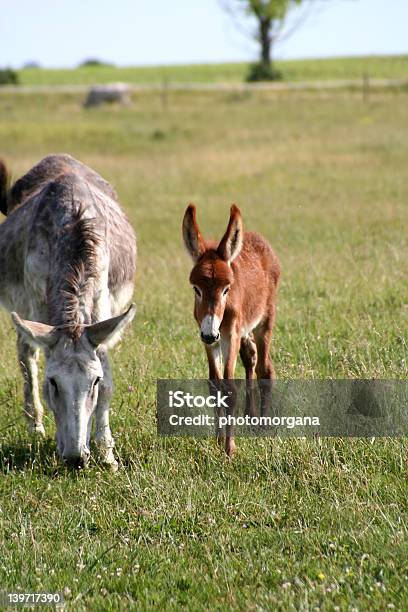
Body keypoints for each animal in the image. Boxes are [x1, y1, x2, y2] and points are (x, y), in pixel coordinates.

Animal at [182, 204, 280, 454]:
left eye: (226, 288)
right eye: (196, 289)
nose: (210, 333)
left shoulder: (230, 335)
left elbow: (229, 388)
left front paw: (229, 449)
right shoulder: (209, 341)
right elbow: (214, 385)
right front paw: (218, 441)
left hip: (264, 321)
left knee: (265, 369)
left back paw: (264, 426)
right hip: (244, 331)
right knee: (251, 357)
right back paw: (251, 416)